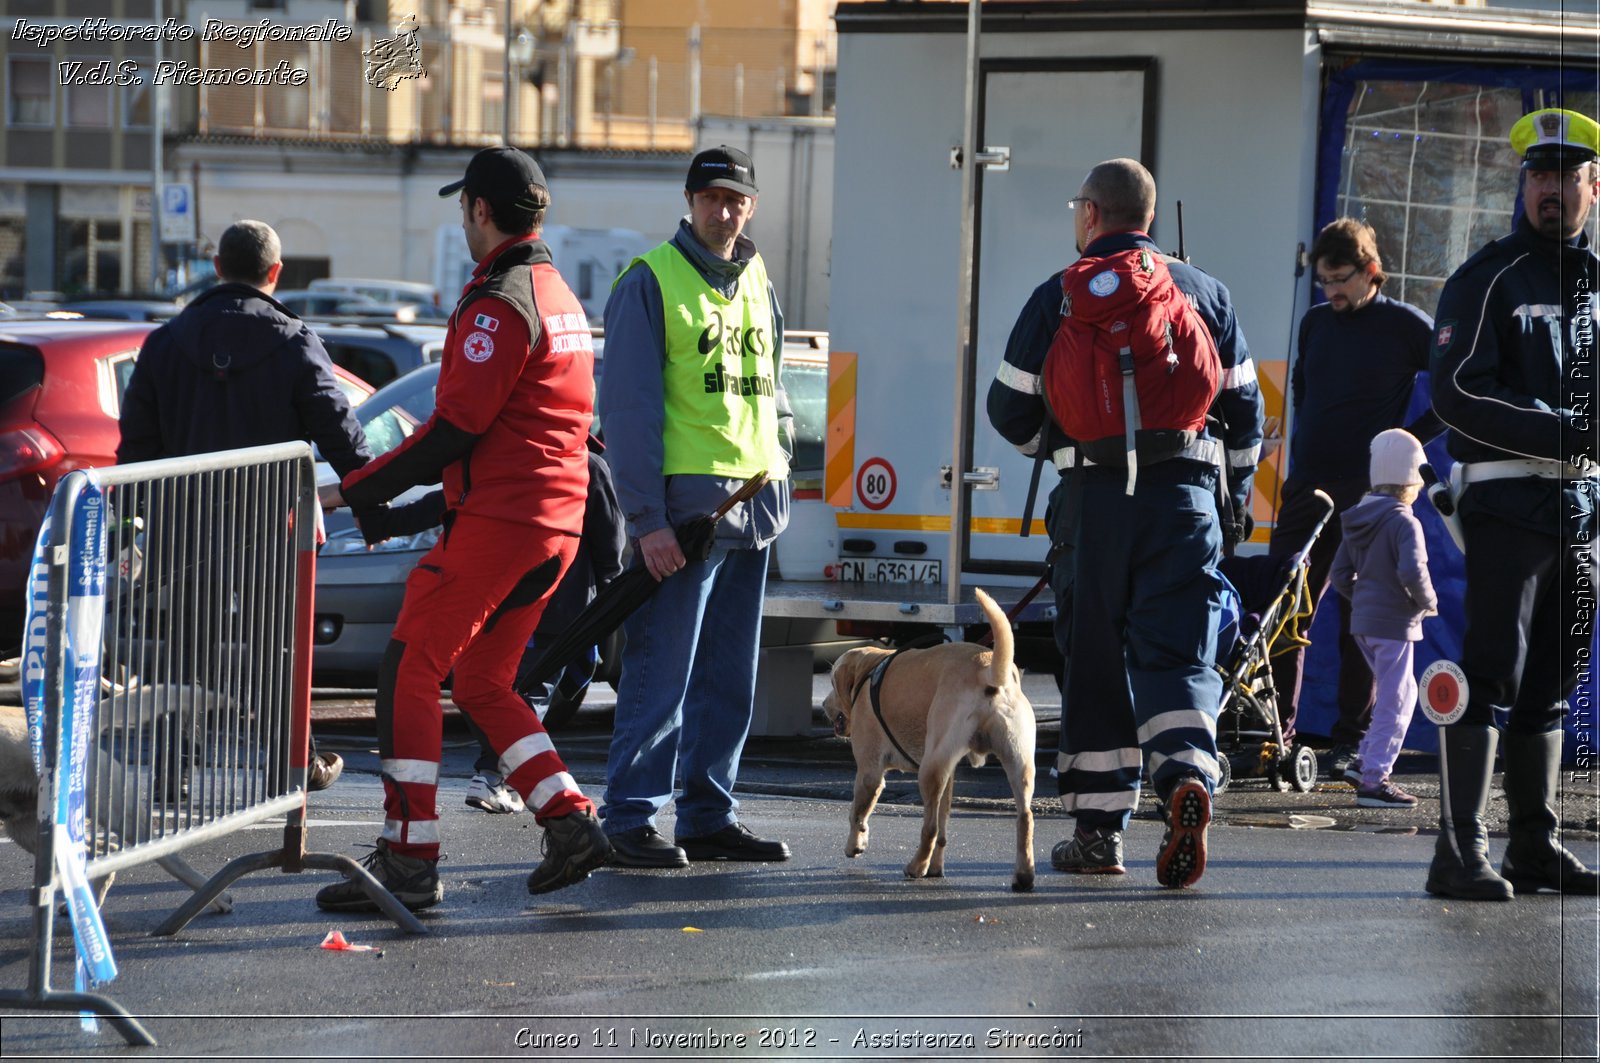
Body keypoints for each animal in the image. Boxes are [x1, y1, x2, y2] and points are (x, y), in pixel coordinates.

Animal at [825, 589, 1036, 890]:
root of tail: (989, 668)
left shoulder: (869, 772)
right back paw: (1020, 875)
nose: (823, 705)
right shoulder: (950, 773)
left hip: (929, 770)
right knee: (1023, 818)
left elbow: (857, 812)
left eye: (831, 683)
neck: (872, 668)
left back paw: (916, 867)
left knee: (930, 827)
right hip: (1016, 764)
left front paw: (855, 844)